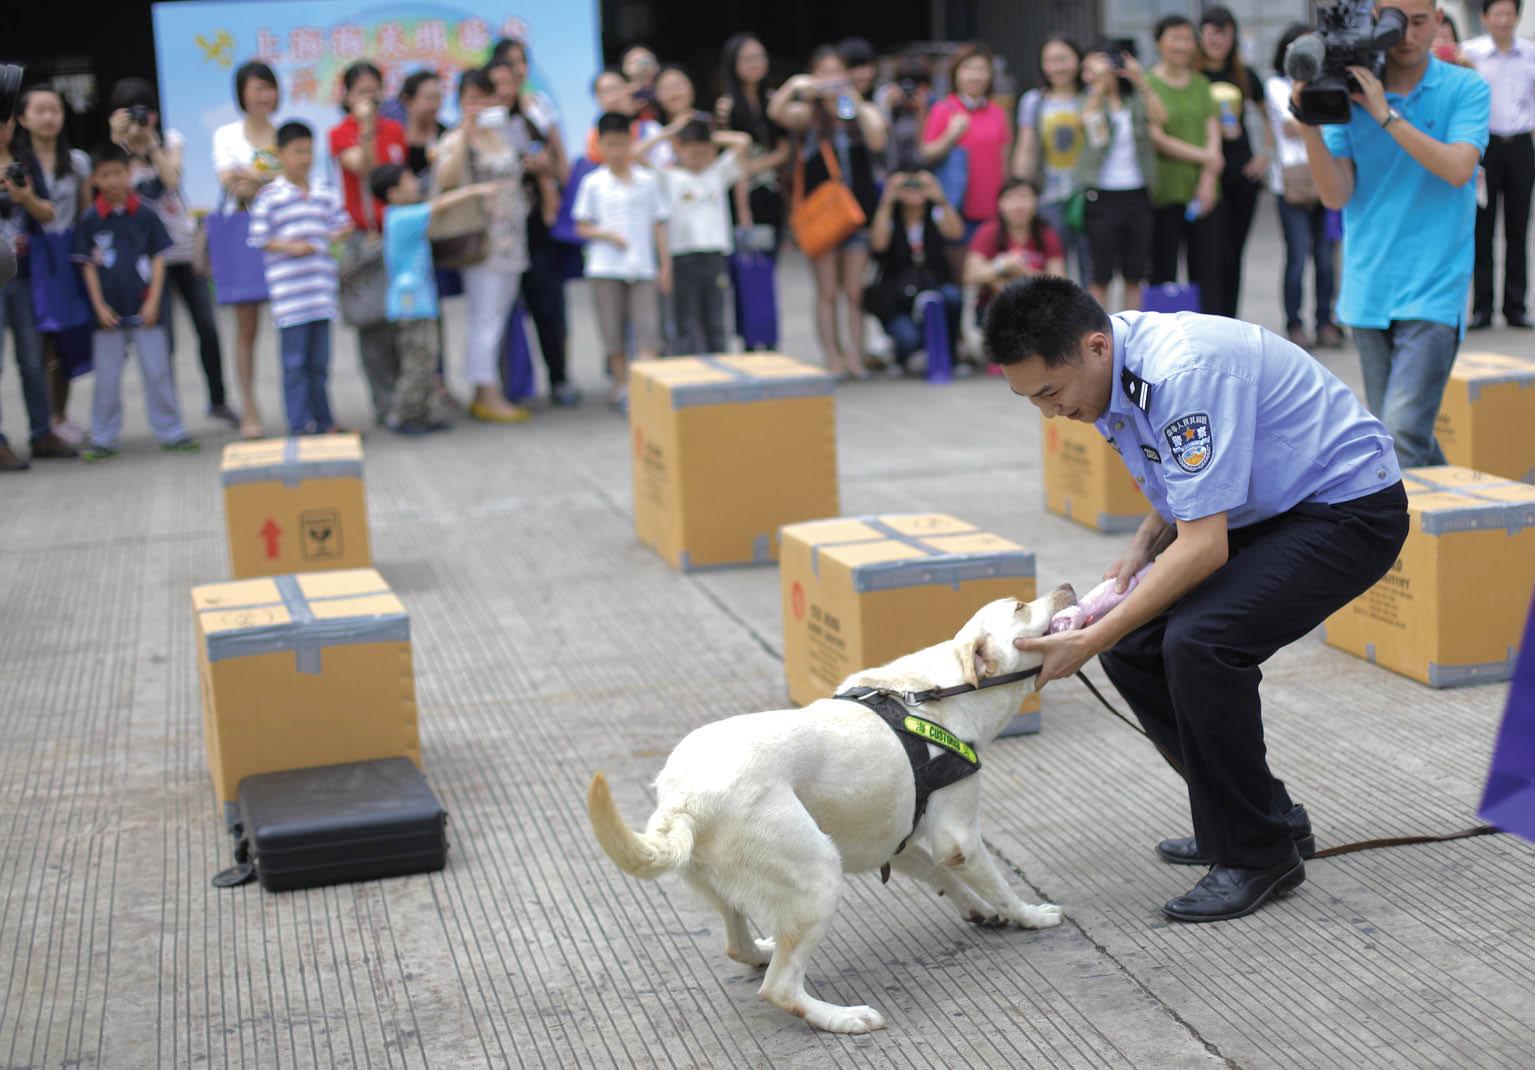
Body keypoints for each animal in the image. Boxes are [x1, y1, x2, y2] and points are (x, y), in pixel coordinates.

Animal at [580, 589, 1074, 1031]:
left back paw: (763, 950)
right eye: (1019, 606)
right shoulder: (961, 839)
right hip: (817, 873)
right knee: (780, 987)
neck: (940, 689)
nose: (1067, 587)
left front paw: (980, 910)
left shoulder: (898, 846)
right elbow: (1000, 885)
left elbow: (944, 877)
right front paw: (1028, 915)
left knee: (739, 946)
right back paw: (843, 1018)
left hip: (729, 885)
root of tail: (684, 802)